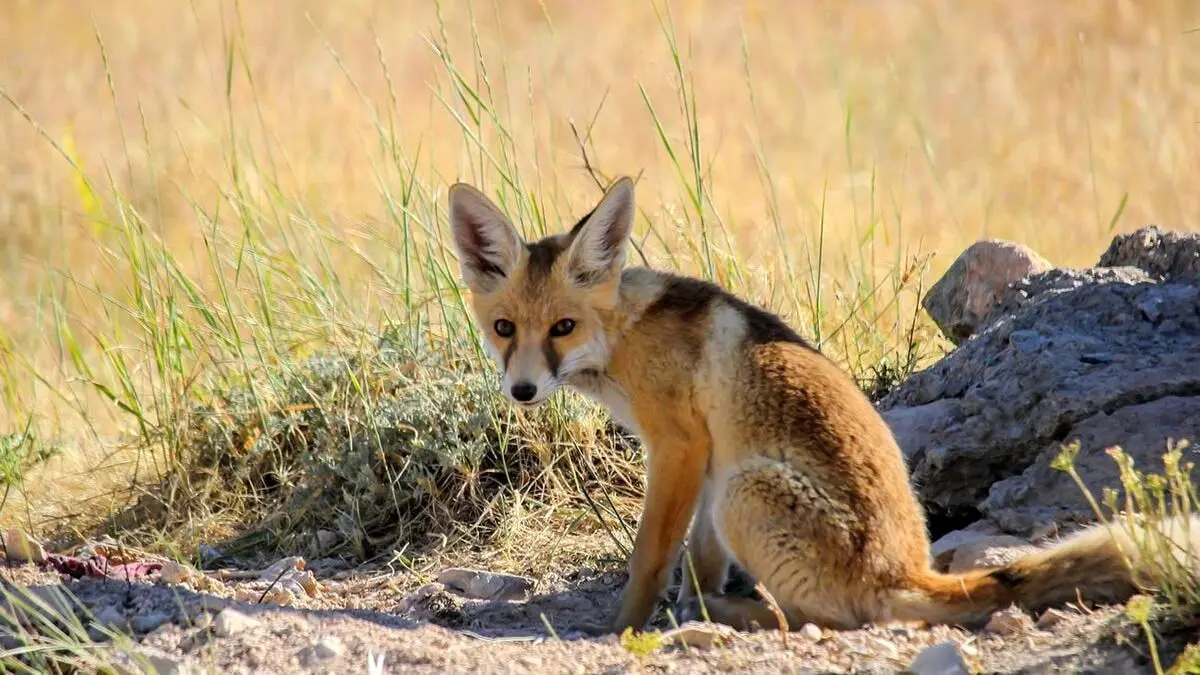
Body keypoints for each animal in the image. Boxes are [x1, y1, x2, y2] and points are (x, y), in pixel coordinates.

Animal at [444, 174, 1200, 634]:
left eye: (562, 328)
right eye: (505, 328)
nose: (522, 390)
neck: (625, 336)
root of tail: (908, 569)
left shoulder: (680, 447)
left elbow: (650, 557)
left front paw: (619, 628)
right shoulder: (709, 459)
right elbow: (695, 562)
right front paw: (684, 603)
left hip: (746, 491)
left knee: (815, 621)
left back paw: (734, 615)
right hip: (734, 487)